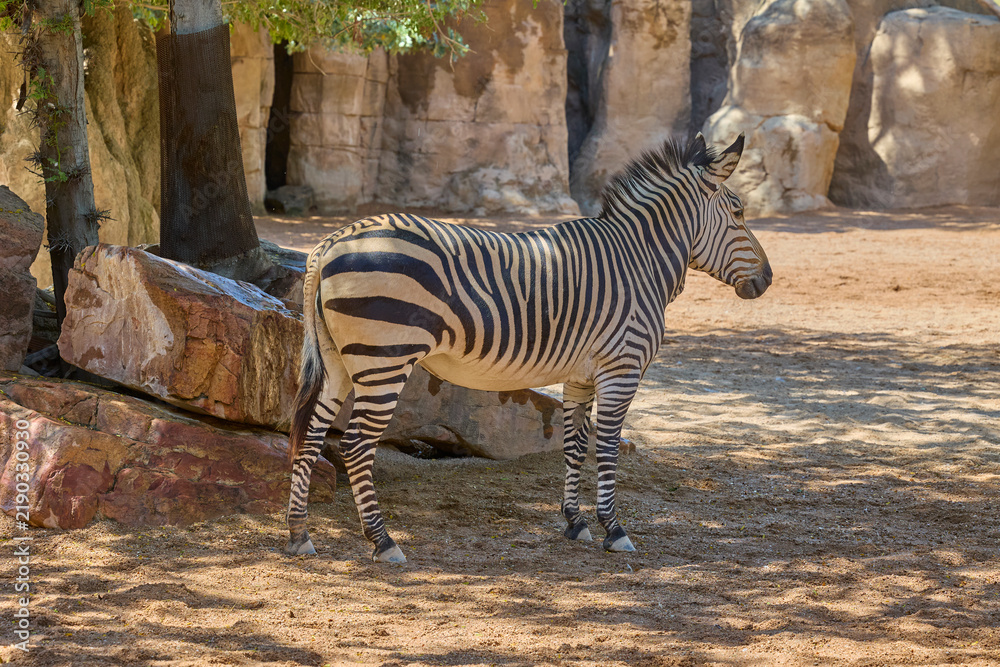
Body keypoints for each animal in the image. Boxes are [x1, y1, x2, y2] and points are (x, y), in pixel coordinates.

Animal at [285, 133, 771, 562]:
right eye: (739, 212)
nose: (767, 280)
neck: (639, 261)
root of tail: (333, 240)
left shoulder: (580, 375)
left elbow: (574, 443)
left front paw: (575, 523)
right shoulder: (622, 367)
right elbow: (608, 447)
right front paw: (614, 530)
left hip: (338, 361)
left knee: (309, 435)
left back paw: (299, 536)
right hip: (384, 359)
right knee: (355, 445)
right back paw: (383, 542)